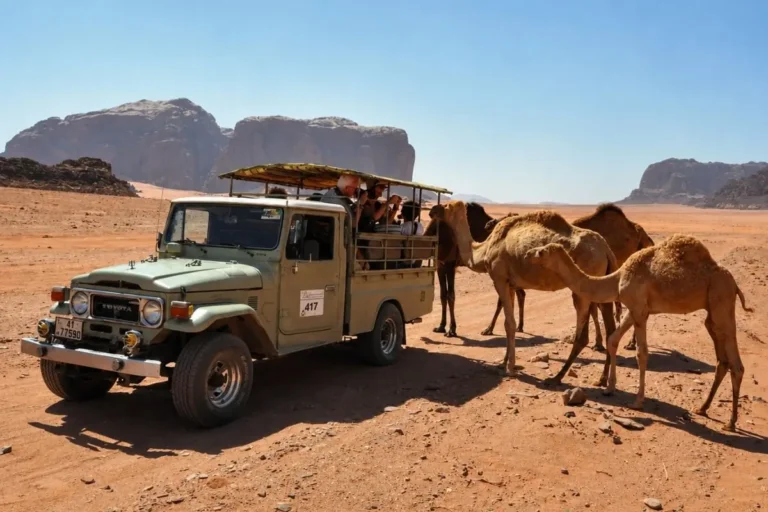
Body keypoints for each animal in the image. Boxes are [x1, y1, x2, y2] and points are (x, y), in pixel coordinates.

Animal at [424, 203, 525, 337]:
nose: (489, 225)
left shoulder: (450, 265)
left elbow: (451, 296)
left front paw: (452, 329)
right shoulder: (440, 266)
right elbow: (442, 295)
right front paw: (440, 326)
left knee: (506, 298)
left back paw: (489, 329)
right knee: (520, 294)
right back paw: (519, 326)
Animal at [482, 203, 655, 351]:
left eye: (504, 218)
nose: (489, 223)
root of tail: (646, 238)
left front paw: (488, 329)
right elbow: (593, 309)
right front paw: (596, 343)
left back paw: (632, 344)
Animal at [524, 235, 752, 431]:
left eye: (542, 252)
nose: (528, 253)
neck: (617, 278)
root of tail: (734, 284)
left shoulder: (639, 310)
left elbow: (641, 353)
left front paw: (637, 401)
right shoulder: (632, 308)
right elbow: (612, 339)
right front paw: (608, 388)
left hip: (722, 301)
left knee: (737, 365)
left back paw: (730, 423)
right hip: (712, 315)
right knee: (722, 361)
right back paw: (703, 408)